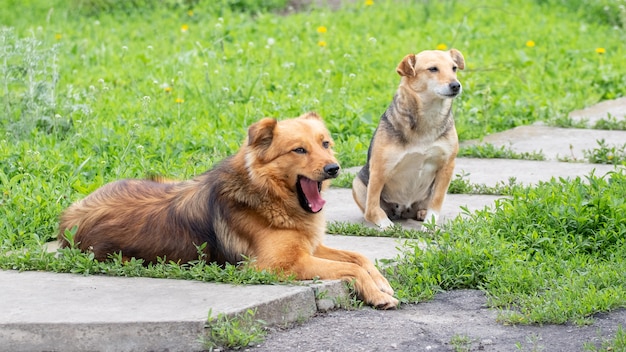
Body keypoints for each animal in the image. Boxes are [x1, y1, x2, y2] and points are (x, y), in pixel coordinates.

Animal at [59, 112, 400, 308]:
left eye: (325, 143)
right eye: (299, 150)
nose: (333, 168)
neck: (268, 195)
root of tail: (70, 216)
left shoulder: (309, 247)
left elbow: (359, 257)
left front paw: (381, 282)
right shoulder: (278, 265)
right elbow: (351, 268)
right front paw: (377, 293)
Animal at [352, 49, 464, 230]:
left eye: (454, 68)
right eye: (433, 69)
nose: (456, 85)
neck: (428, 115)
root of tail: (403, 210)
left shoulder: (447, 166)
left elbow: (437, 201)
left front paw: (430, 225)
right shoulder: (379, 167)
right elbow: (373, 204)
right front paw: (385, 224)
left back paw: (422, 213)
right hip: (358, 183)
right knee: (370, 208)